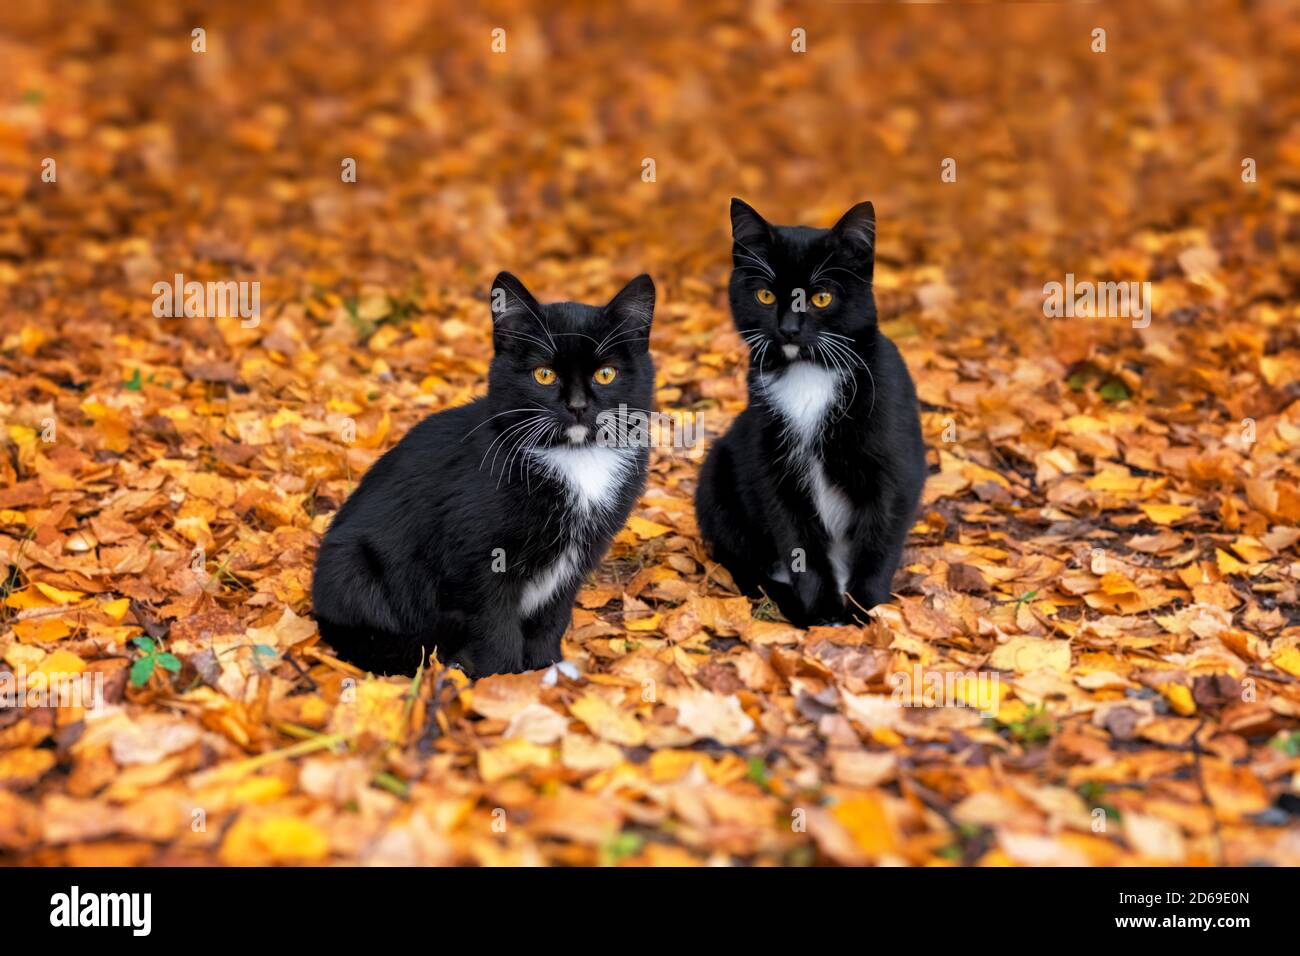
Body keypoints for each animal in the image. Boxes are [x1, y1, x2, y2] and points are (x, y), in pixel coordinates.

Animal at [313, 269, 655, 676]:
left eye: (606, 374)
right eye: (543, 374)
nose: (577, 406)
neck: (573, 457)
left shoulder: (579, 555)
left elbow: (551, 618)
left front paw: (546, 671)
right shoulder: (477, 559)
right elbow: (495, 627)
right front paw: (503, 681)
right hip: (352, 564)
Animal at [696, 200, 930, 629]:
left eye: (821, 298)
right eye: (765, 295)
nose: (788, 329)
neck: (810, 373)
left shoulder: (894, 465)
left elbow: (879, 539)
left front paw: (864, 611)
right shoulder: (772, 466)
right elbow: (798, 543)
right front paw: (822, 612)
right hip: (717, 469)